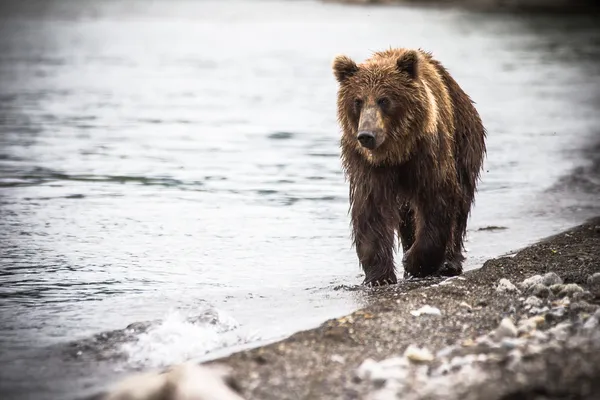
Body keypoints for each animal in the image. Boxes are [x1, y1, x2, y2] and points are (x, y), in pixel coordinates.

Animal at [332, 47, 488, 284]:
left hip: (465, 140)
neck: (397, 153)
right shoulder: (368, 166)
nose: (366, 135)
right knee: (405, 216)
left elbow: (437, 200)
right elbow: (371, 211)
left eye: (384, 99)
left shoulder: (428, 153)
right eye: (357, 100)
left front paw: (414, 262)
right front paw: (379, 276)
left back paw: (449, 262)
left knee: (461, 204)